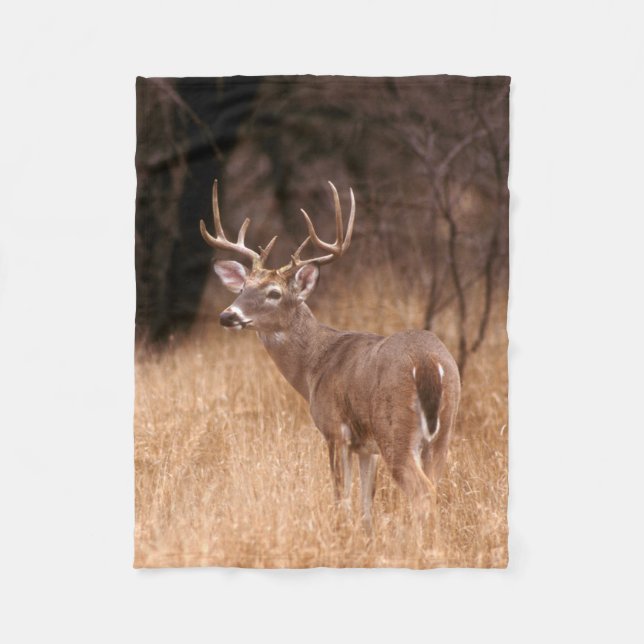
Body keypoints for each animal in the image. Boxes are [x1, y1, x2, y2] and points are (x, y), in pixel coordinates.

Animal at [200, 180, 460, 530]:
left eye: (274, 293)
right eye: (243, 289)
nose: (227, 315)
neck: (314, 366)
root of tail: (428, 363)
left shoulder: (334, 429)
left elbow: (341, 496)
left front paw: (341, 532)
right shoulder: (366, 447)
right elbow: (366, 502)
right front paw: (365, 535)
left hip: (395, 428)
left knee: (422, 493)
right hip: (443, 430)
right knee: (434, 487)